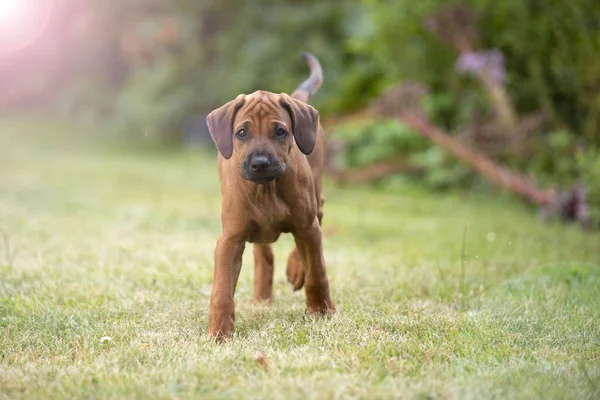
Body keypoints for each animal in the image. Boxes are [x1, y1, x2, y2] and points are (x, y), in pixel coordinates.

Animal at [205, 54, 338, 340]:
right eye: (241, 133)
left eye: (280, 131)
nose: (260, 164)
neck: (266, 189)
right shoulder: (229, 240)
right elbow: (222, 291)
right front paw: (219, 333)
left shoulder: (307, 227)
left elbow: (317, 272)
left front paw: (322, 311)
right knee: (263, 253)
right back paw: (262, 297)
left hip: (315, 196)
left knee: (317, 220)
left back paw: (296, 270)